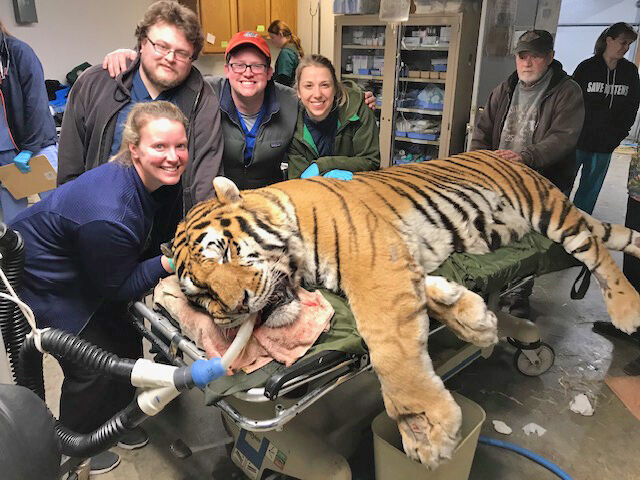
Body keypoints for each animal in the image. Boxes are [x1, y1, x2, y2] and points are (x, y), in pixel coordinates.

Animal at [170, 150, 640, 468]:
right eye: (201, 295)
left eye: (225, 250)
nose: (237, 306)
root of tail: (510, 157)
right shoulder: (399, 263)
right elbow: (434, 295)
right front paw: (476, 321)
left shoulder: (373, 265)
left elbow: (391, 351)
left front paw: (424, 428)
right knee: (613, 234)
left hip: (548, 210)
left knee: (596, 250)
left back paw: (626, 310)